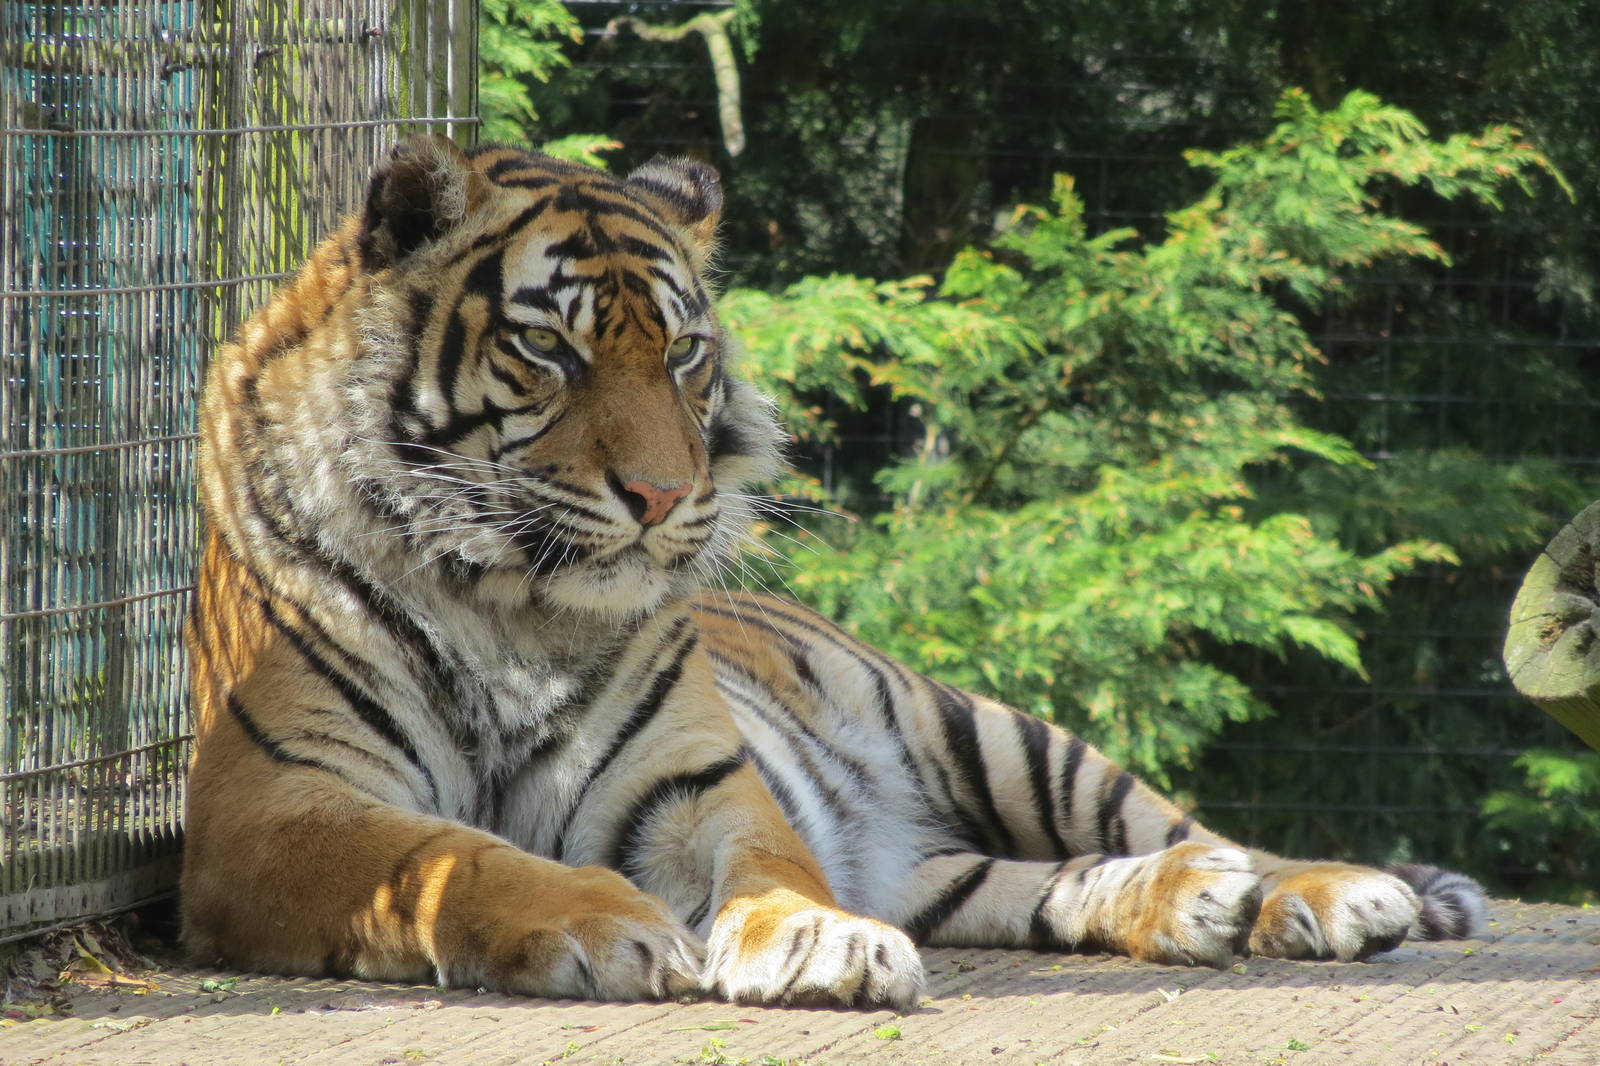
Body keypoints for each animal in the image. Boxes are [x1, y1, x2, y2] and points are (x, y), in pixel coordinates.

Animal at [182, 135, 1485, 1010]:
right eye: (546, 346)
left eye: (685, 352)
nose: (662, 497)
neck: (514, 605)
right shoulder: (275, 807)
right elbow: (447, 855)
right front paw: (607, 923)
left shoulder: (696, 782)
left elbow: (773, 864)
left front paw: (817, 940)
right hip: (944, 866)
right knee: (1058, 881)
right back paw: (1195, 899)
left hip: (994, 733)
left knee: (1198, 828)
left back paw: (1325, 892)